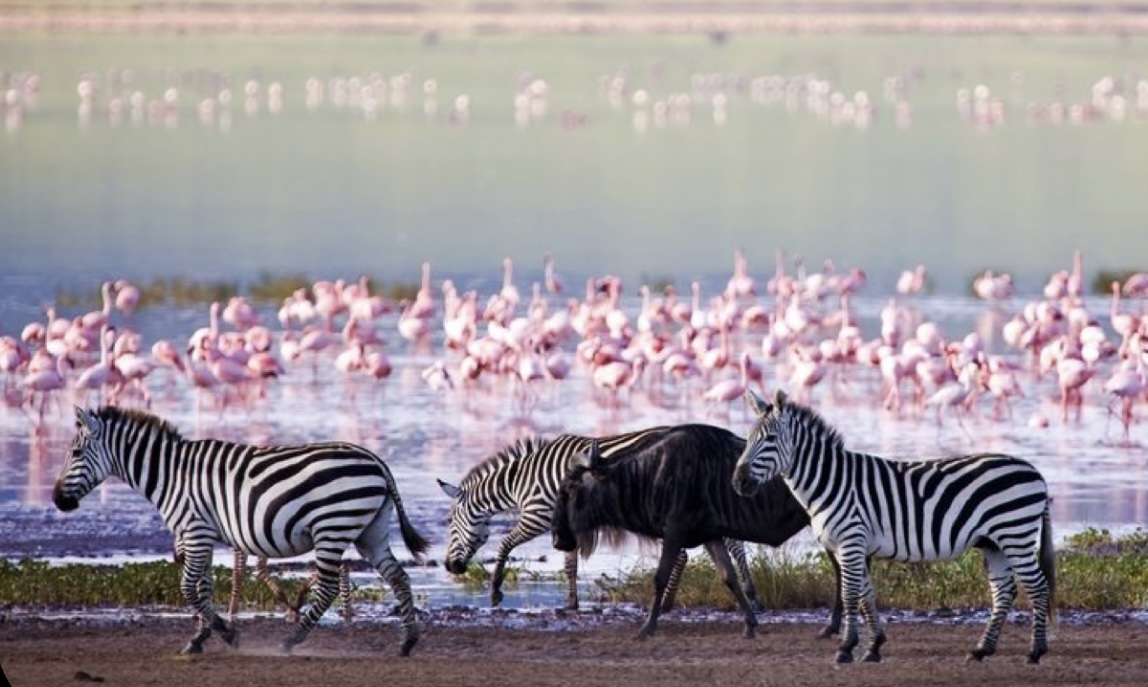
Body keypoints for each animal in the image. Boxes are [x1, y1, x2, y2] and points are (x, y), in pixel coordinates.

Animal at [52, 406, 431, 661]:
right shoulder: (200, 535)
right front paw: (201, 638)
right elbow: (202, 587)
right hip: (371, 531)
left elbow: (188, 587)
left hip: (332, 528)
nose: (57, 499)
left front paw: (226, 633)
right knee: (398, 576)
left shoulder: (195, 530)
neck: (170, 475)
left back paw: (291, 640)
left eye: (75, 453)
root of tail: (376, 461)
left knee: (328, 588)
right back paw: (408, 642)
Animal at [433, 431, 757, 615]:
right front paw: (571, 603)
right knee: (729, 543)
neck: (520, 481)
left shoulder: (537, 515)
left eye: (449, 523)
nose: (450, 567)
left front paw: (495, 590)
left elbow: (505, 545)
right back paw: (749, 593)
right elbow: (570, 565)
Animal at [730, 390, 1051, 666]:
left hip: (1015, 535)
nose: (738, 482)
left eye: (770, 439)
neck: (829, 481)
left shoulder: (851, 541)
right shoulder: (855, 546)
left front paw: (845, 648)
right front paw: (873, 647)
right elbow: (865, 596)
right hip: (994, 543)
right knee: (1004, 592)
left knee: (1037, 587)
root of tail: (1035, 471)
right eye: (748, 439)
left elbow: (850, 595)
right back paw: (981, 650)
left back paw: (1035, 651)